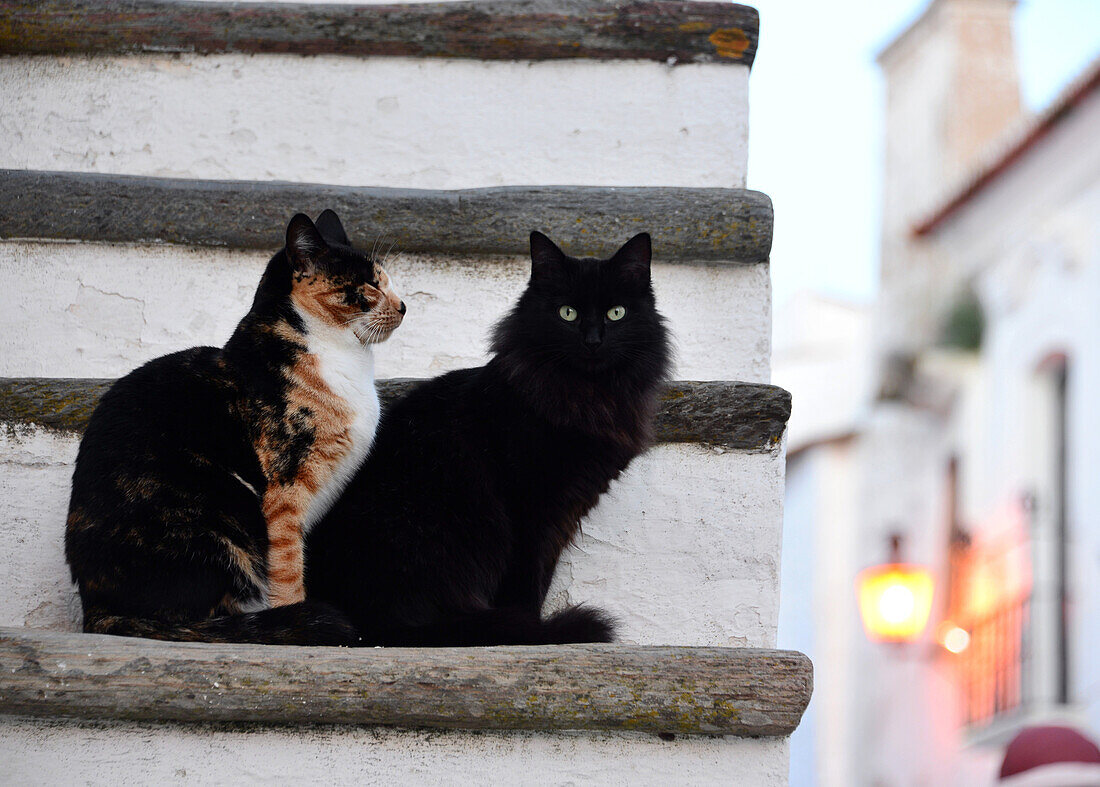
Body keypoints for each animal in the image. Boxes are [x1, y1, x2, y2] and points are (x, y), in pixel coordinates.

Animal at [64, 211, 402, 647]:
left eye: (386, 280)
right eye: (370, 285)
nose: (404, 305)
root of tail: (97, 609)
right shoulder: (284, 493)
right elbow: (287, 569)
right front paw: (296, 614)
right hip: (223, 512)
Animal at [308, 228, 668, 647]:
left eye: (616, 313)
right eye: (567, 313)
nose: (593, 341)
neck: (586, 397)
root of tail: (366, 628)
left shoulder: (567, 509)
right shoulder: (532, 509)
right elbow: (528, 584)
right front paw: (535, 633)